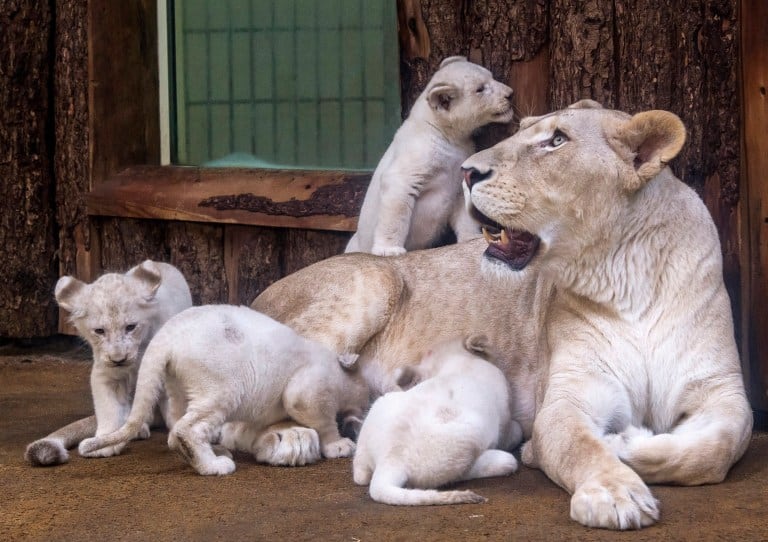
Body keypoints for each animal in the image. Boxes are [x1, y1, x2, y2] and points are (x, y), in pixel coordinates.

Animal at [251, 101, 752, 529]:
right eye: (520, 128)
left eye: (557, 140)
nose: (466, 171)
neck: (626, 274)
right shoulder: (569, 395)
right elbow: (581, 447)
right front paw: (613, 491)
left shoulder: (722, 390)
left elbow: (715, 448)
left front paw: (626, 443)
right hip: (376, 281)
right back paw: (291, 440)